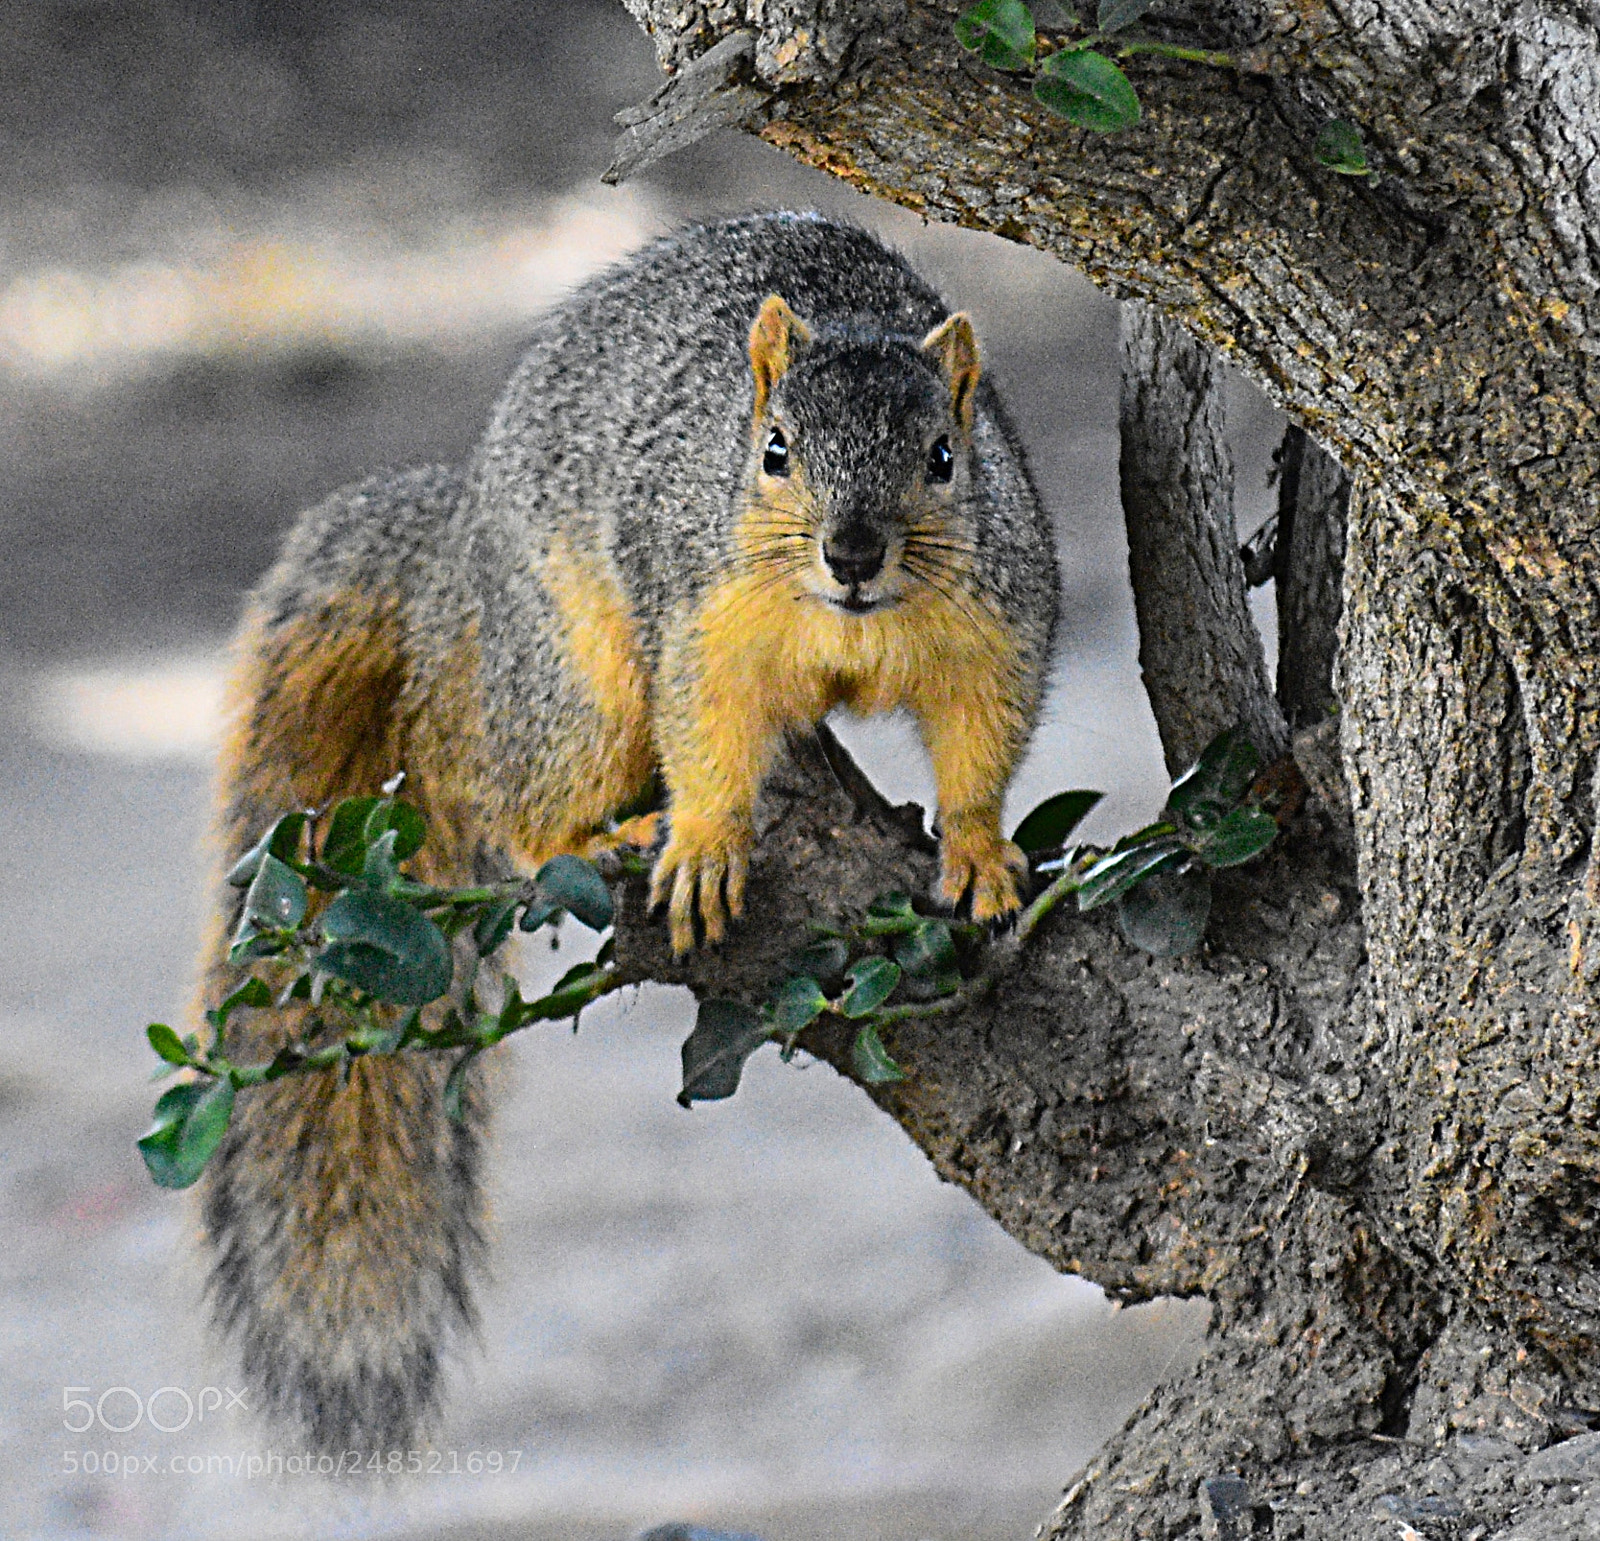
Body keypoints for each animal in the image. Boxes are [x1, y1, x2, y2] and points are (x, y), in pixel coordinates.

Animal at [197, 210, 1060, 1452]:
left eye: (944, 456)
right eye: (775, 450)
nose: (852, 553)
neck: (850, 625)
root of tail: (463, 552)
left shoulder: (997, 619)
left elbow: (983, 740)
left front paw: (980, 850)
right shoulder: (700, 618)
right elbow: (705, 728)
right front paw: (701, 842)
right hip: (575, 684)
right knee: (517, 792)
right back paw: (601, 831)